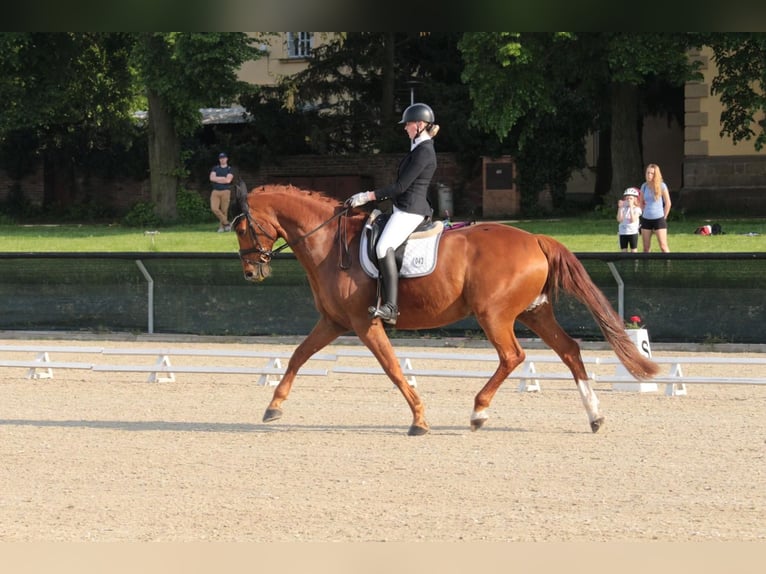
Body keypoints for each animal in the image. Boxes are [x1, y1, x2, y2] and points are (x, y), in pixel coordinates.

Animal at [232, 184, 660, 436]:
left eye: (240, 229)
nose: (252, 272)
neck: (328, 243)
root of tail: (535, 238)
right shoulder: (334, 321)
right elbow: (297, 356)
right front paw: (273, 407)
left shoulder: (364, 322)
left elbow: (392, 368)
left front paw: (419, 421)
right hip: (534, 312)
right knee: (569, 350)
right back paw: (595, 416)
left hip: (495, 315)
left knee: (513, 356)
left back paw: (479, 412)